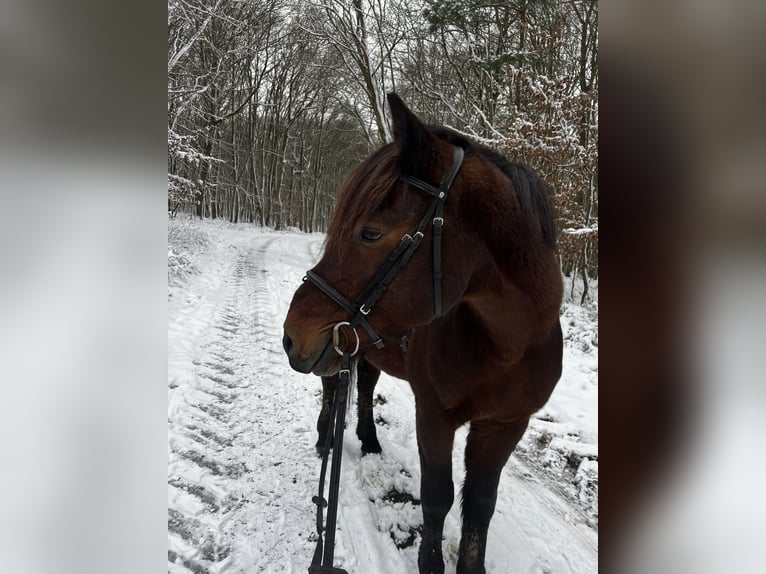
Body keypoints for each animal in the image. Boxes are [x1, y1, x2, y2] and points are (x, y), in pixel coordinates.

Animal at [282, 95, 564, 574]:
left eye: (370, 232)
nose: (291, 335)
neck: (507, 346)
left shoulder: (506, 425)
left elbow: (480, 506)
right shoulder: (433, 414)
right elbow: (438, 498)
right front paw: (431, 563)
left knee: (364, 388)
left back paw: (370, 440)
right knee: (333, 391)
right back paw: (325, 439)